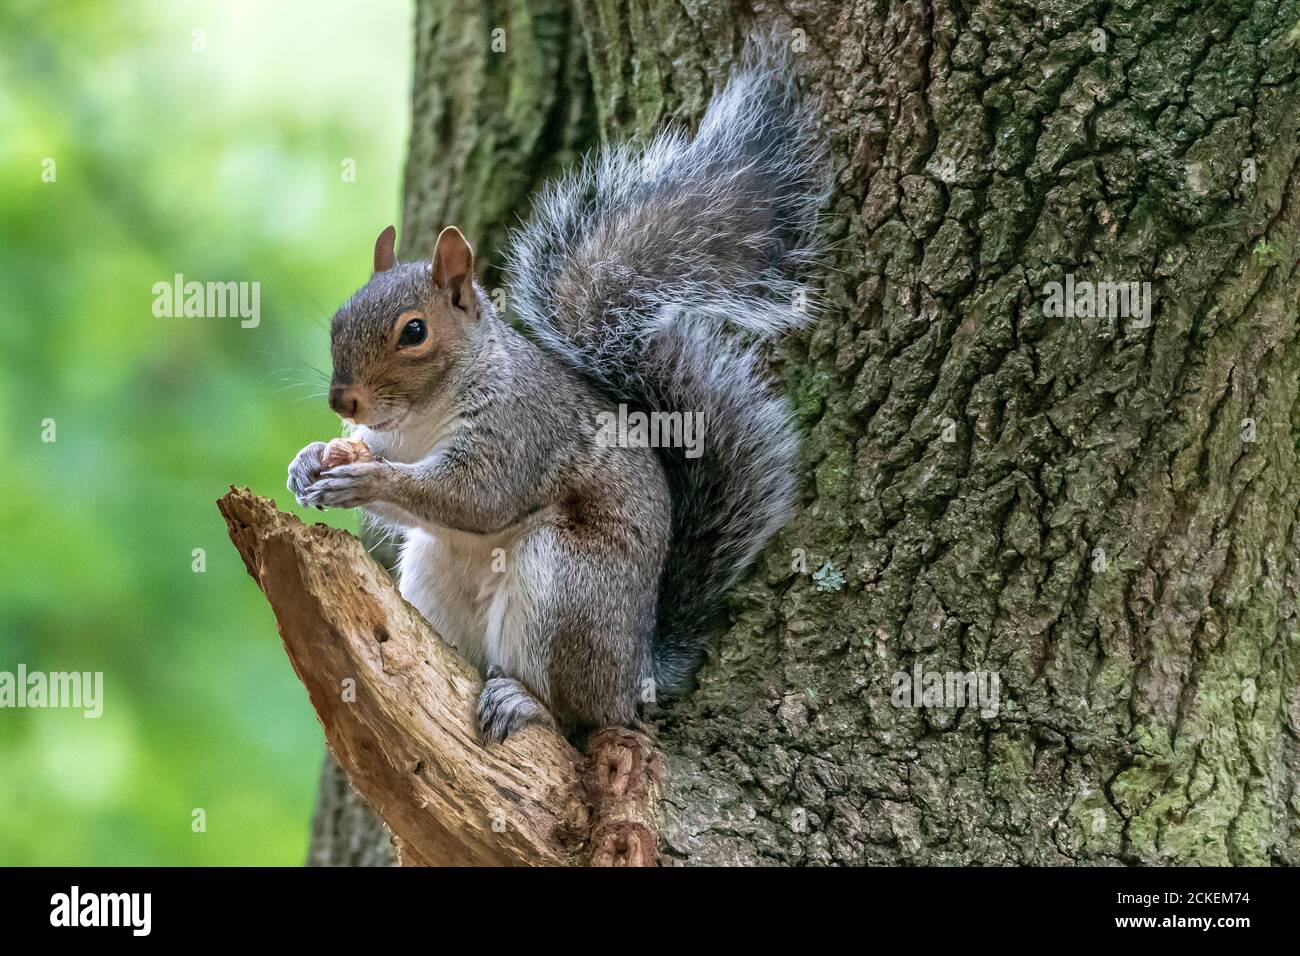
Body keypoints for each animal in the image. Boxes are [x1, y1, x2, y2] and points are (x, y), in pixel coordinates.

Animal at [287, 40, 828, 742]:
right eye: (338, 319)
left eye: (414, 331)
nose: (343, 403)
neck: (422, 415)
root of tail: (636, 674)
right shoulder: (393, 437)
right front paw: (310, 463)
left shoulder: (522, 429)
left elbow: (477, 496)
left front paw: (364, 479)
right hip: (435, 573)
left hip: (566, 584)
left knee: (577, 716)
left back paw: (528, 702)